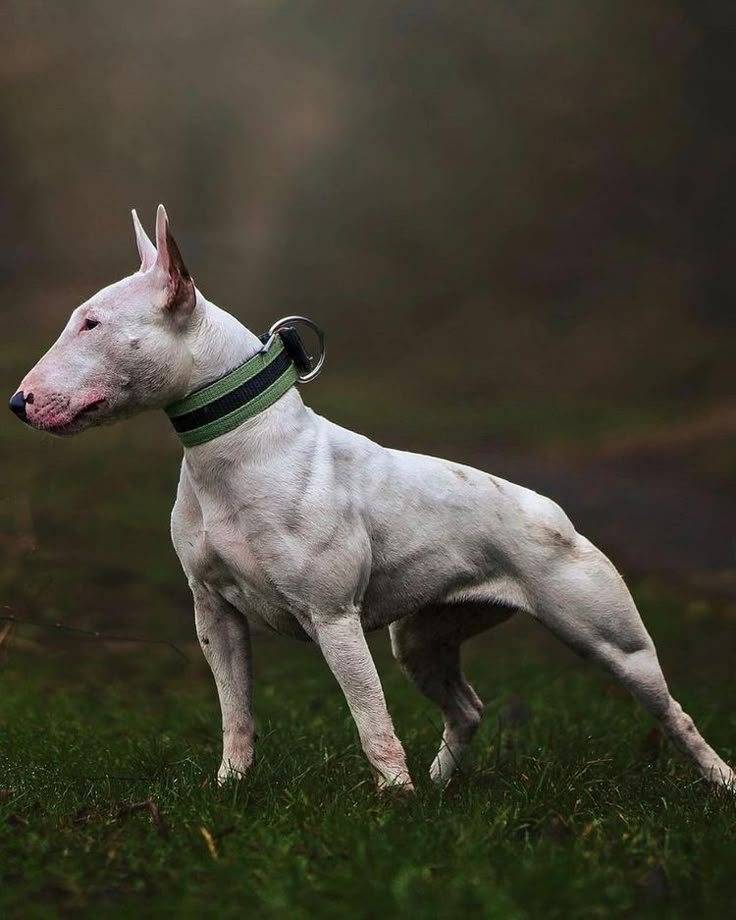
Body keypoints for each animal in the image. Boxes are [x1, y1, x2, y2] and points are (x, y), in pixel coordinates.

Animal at [10, 207, 732, 792]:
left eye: (92, 322)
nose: (19, 402)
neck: (233, 450)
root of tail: (552, 511)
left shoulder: (333, 616)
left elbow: (369, 715)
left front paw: (394, 799)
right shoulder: (214, 614)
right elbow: (235, 713)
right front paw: (229, 788)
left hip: (608, 638)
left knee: (671, 709)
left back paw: (717, 779)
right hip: (422, 640)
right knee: (467, 707)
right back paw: (441, 784)